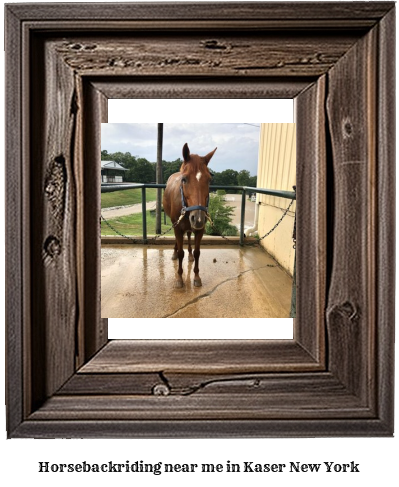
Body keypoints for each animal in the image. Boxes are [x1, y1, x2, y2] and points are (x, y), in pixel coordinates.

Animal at [162, 144, 217, 290]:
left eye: (209, 180)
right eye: (184, 179)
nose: (198, 218)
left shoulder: (200, 230)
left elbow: (198, 252)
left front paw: (197, 277)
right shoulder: (178, 227)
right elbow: (181, 252)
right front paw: (179, 278)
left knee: (188, 235)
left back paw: (190, 255)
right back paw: (175, 253)